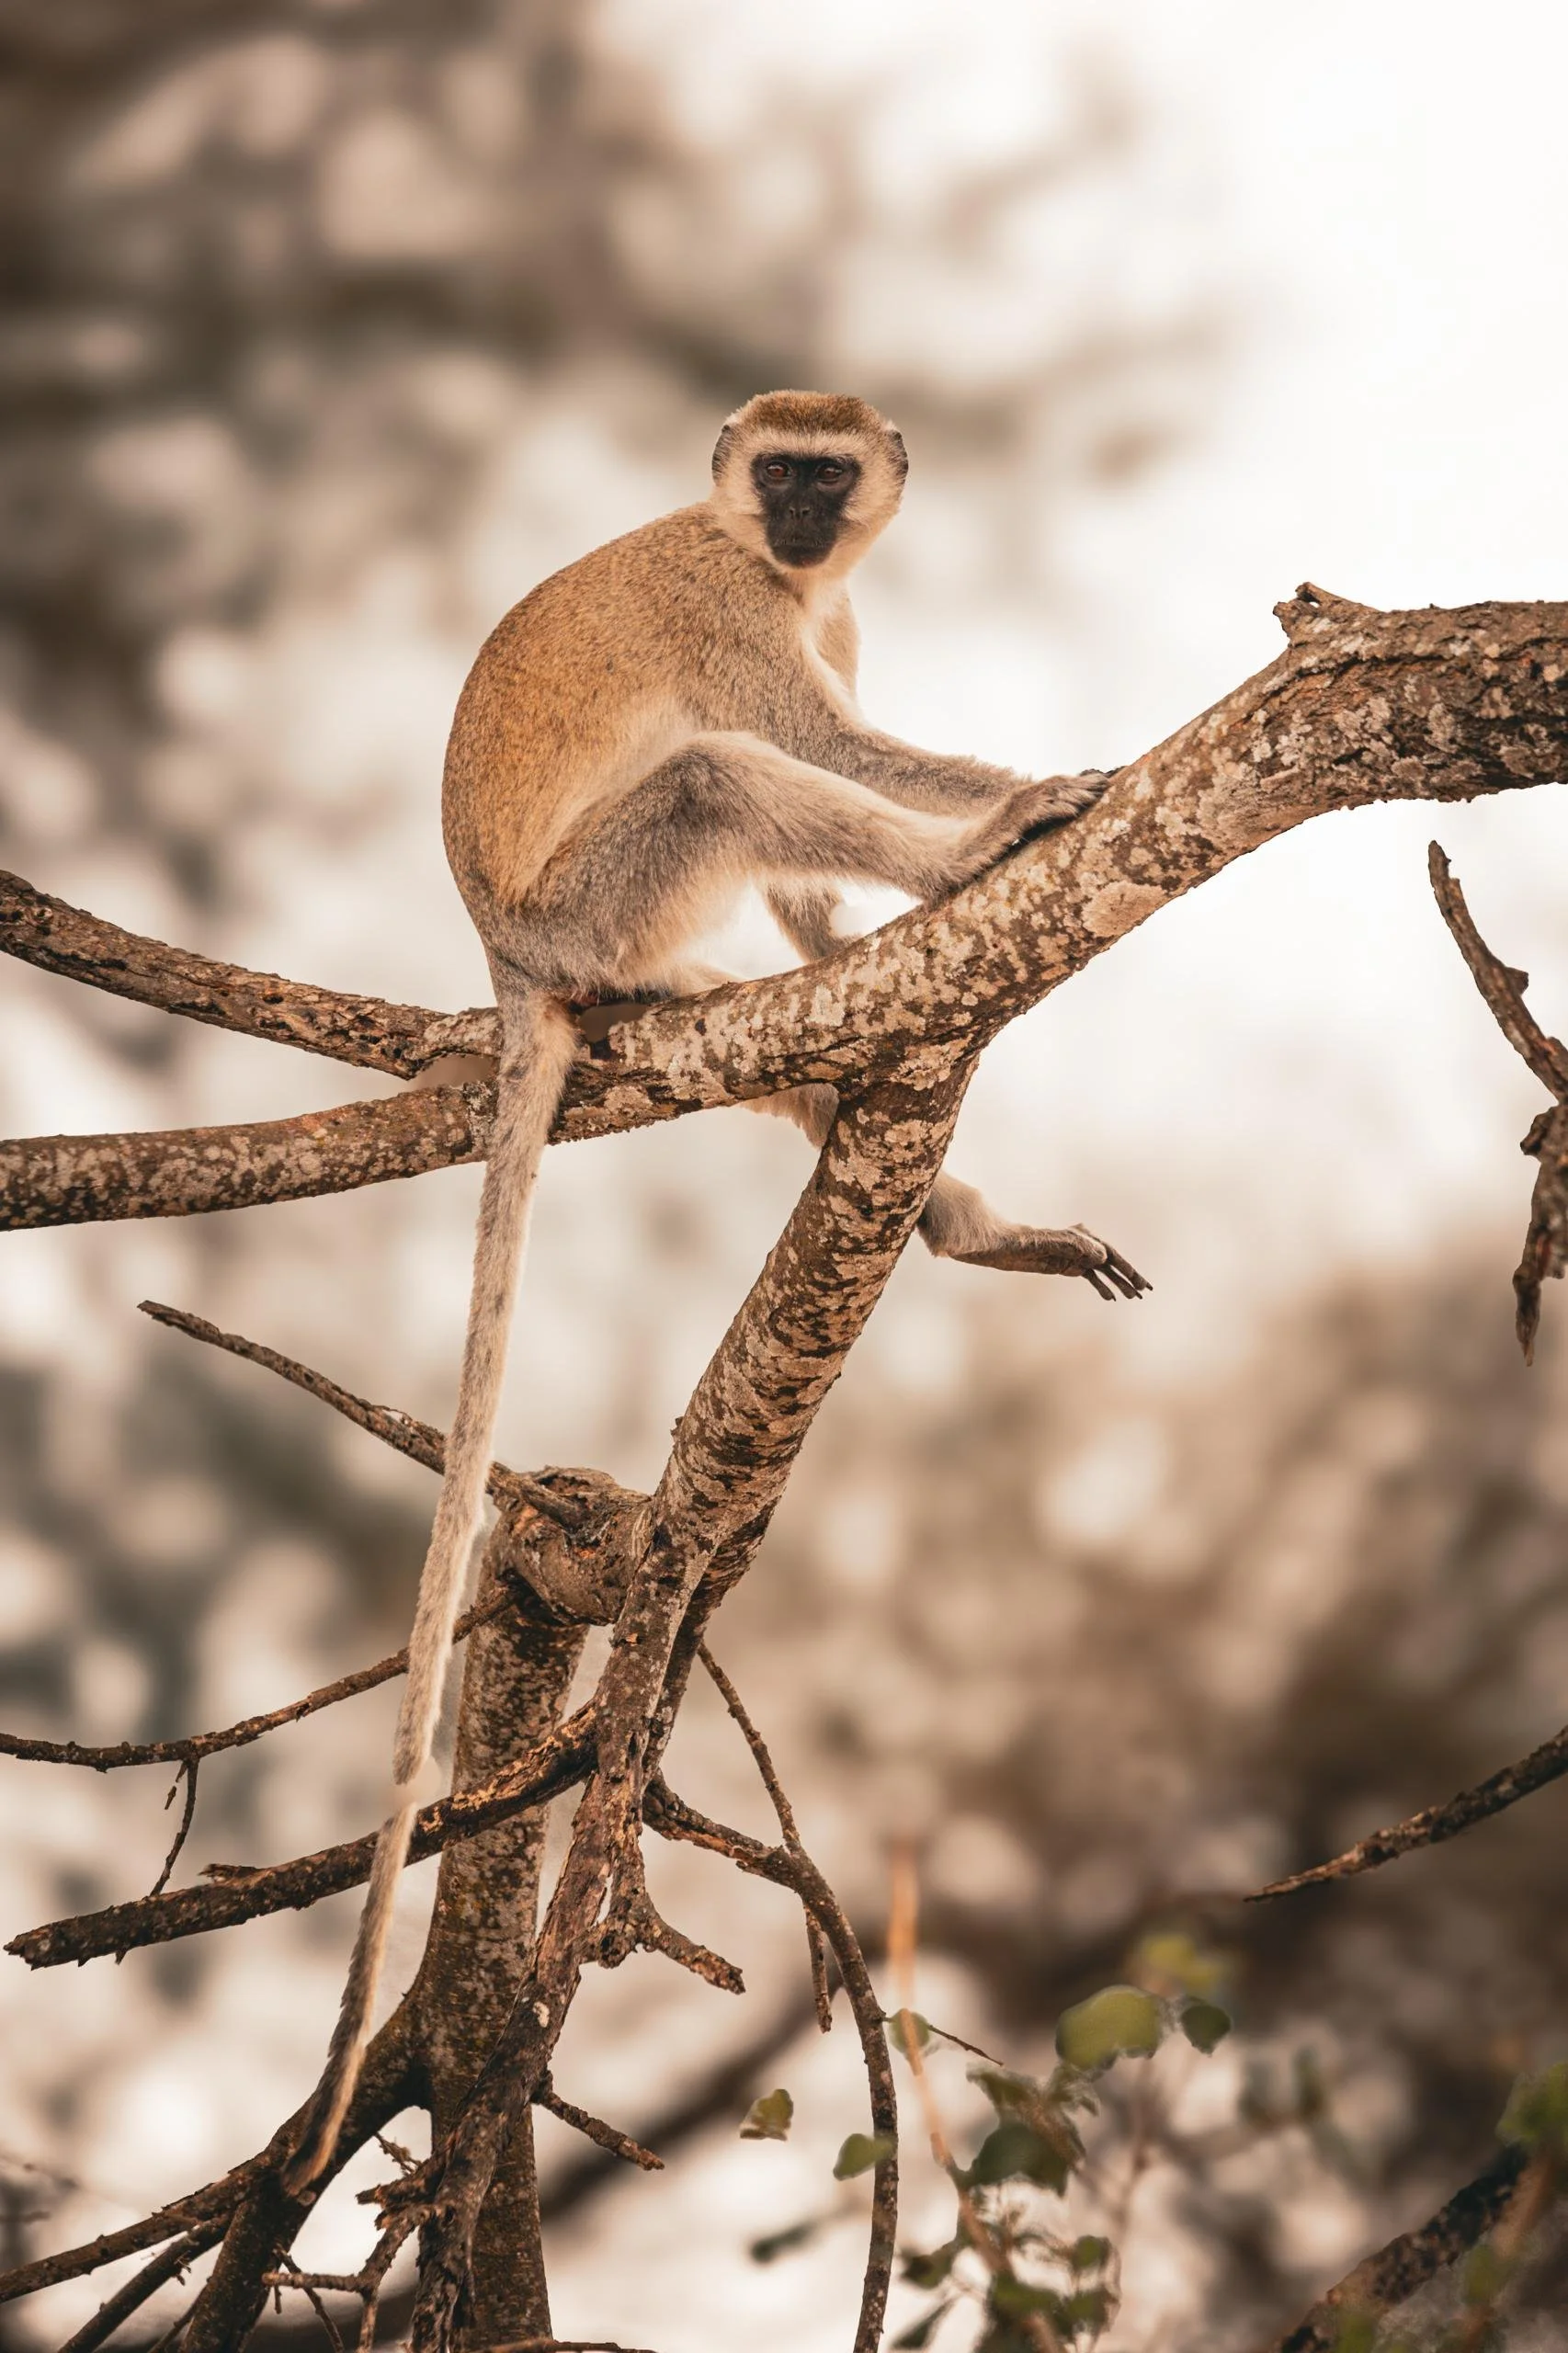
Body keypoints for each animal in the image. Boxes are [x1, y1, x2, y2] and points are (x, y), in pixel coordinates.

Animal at [284, 389, 1143, 2189]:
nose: (805, 516)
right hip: (601, 896)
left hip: (621, 939)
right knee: (718, 775)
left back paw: (953, 1216)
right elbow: (824, 747)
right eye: (777, 475)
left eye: (829, 474)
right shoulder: (733, 610)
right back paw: (958, 863)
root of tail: (509, 957)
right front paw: (995, 816)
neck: (777, 570)